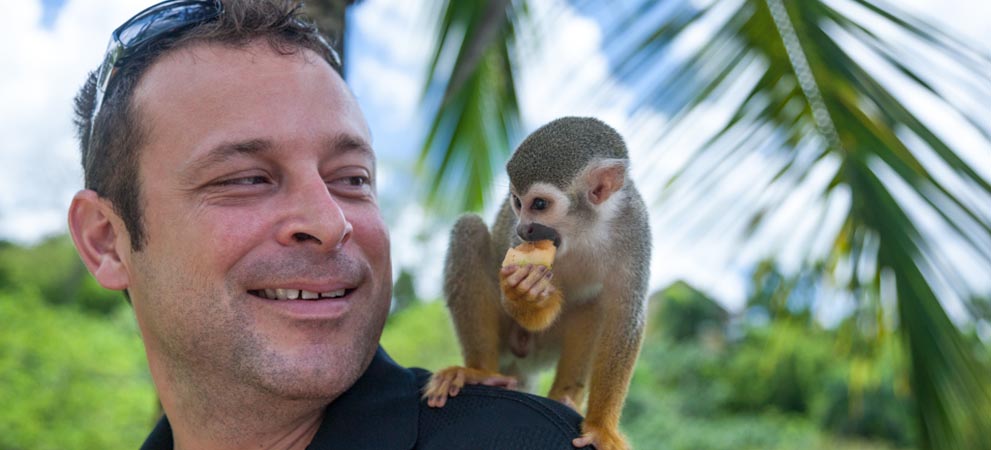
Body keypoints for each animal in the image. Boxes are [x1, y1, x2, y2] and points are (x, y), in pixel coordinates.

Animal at [424, 117, 652, 450]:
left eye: (540, 204)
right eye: (517, 202)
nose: (523, 228)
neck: (585, 229)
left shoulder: (635, 228)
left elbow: (624, 319)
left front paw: (600, 427)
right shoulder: (515, 244)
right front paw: (525, 294)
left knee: (595, 304)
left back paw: (565, 396)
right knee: (468, 230)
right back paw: (479, 372)